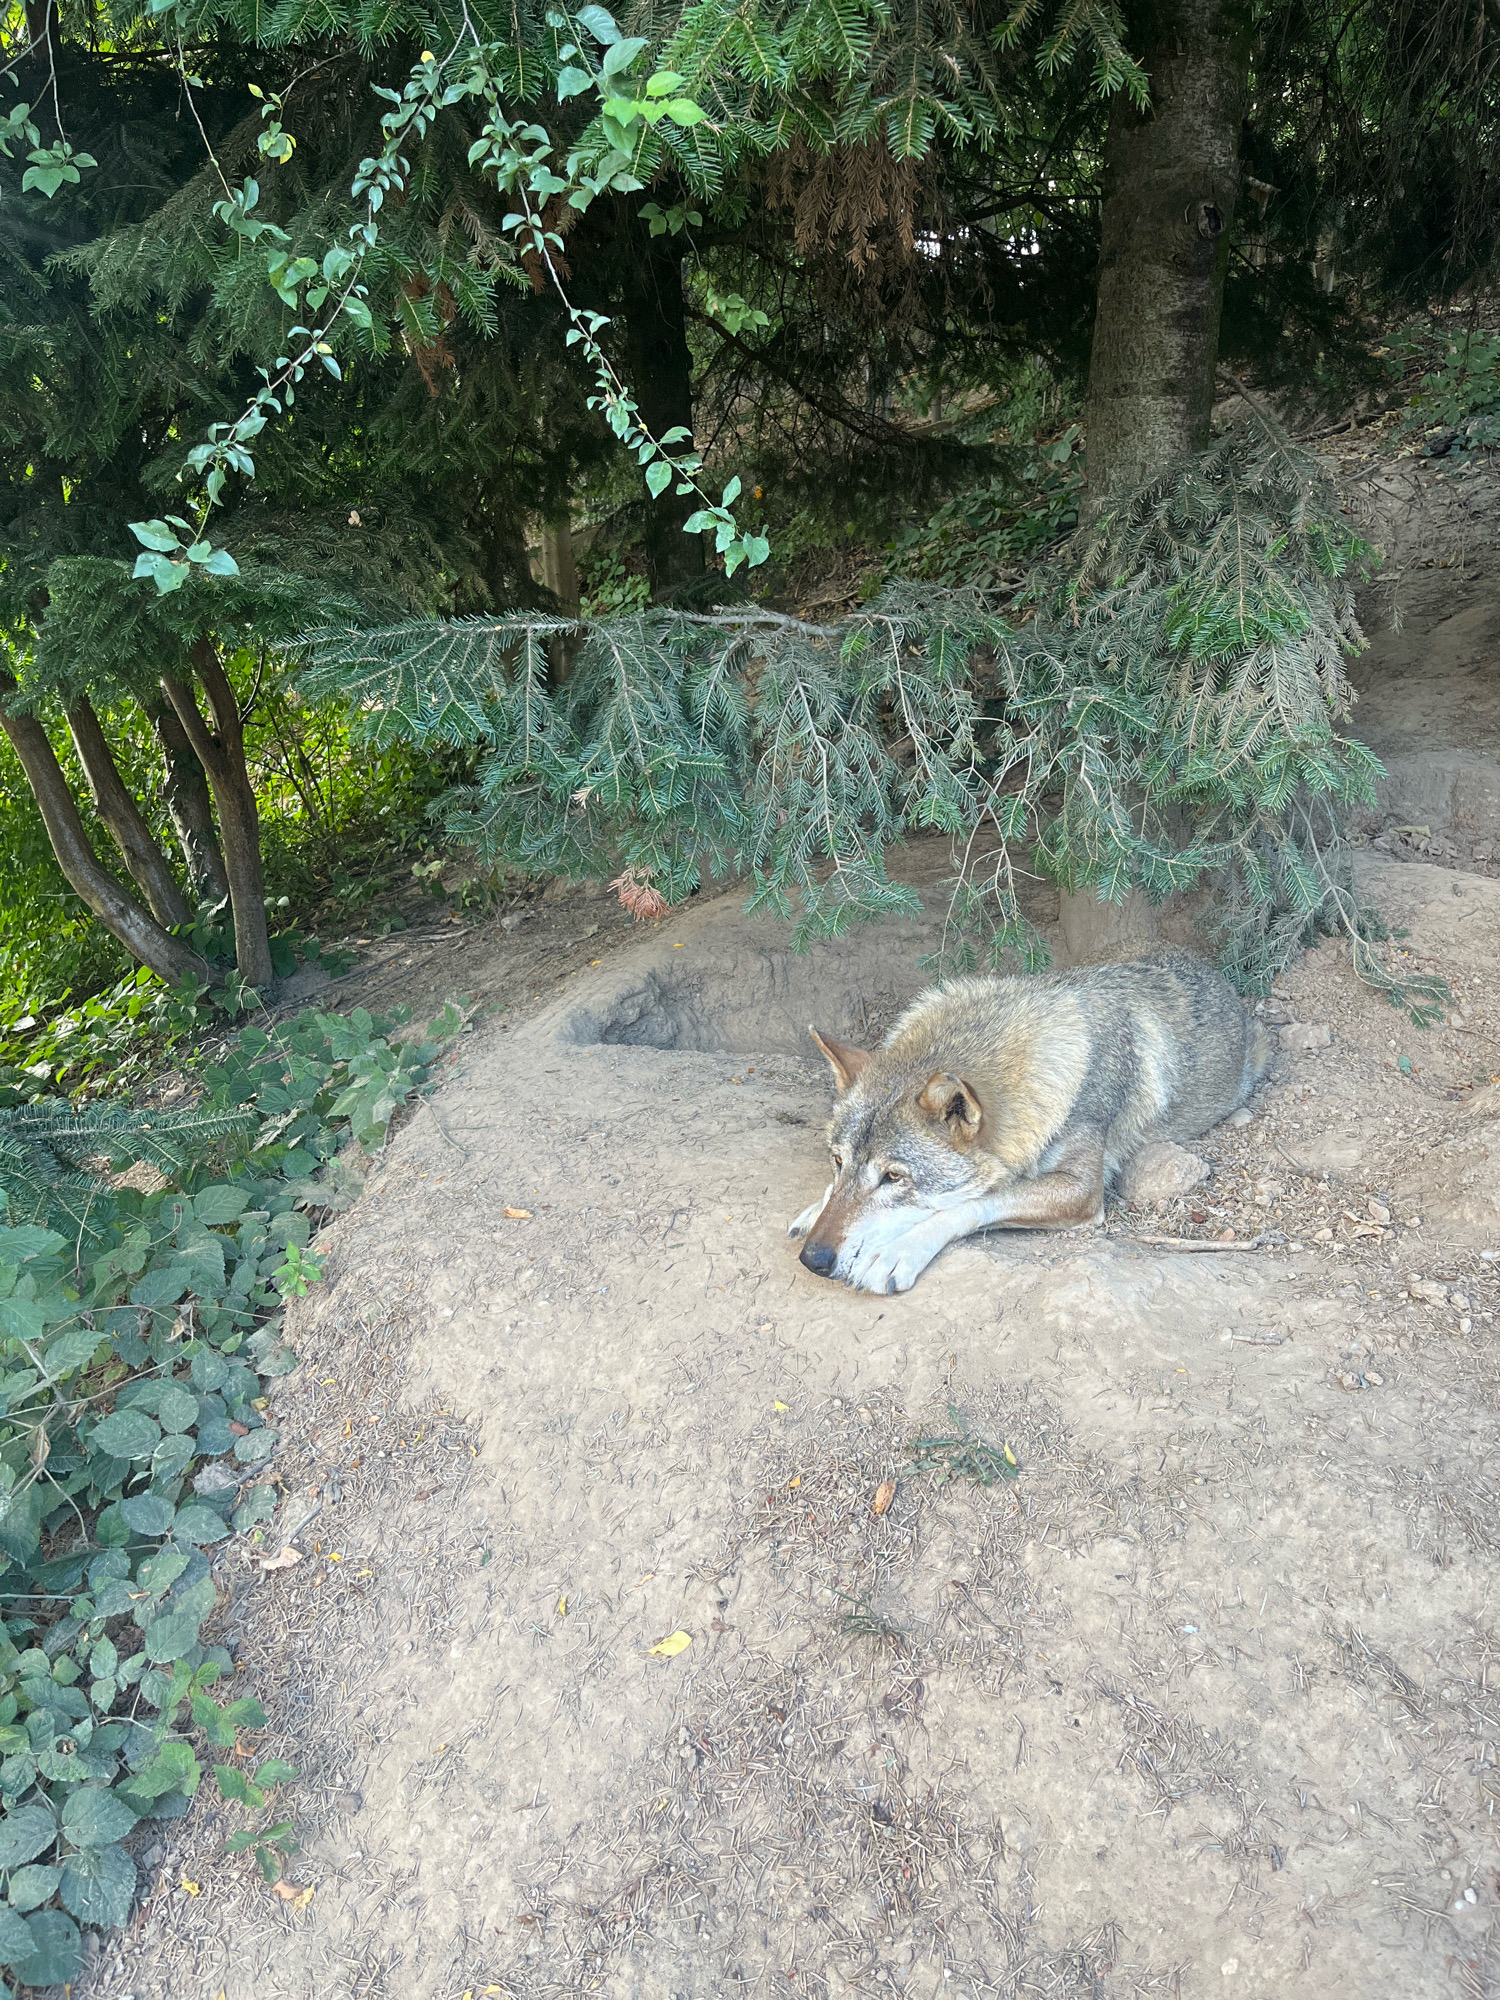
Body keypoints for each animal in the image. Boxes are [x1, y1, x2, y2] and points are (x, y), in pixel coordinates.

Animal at [788, 951, 1268, 1295]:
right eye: (837, 1161)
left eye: (892, 1177)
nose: (813, 1260)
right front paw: (816, 1208)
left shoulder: (1081, 1190)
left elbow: (975, 1202)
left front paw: (897, 1252)